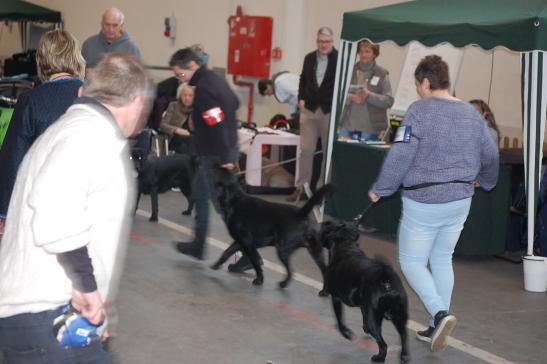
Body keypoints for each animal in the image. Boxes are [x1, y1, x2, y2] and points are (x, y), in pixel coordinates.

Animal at [322, 220, 412, 362]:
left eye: (329, 226)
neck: (346, 246)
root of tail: (386, 280)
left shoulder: (336, 298)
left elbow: (339, 320)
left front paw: (346, 333)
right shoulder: (364, 305)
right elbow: (362, 315)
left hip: (375, 320)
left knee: (383, 344)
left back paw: (379, 357)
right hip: (399, 315)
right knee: (403, 335)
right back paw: (404, 356)